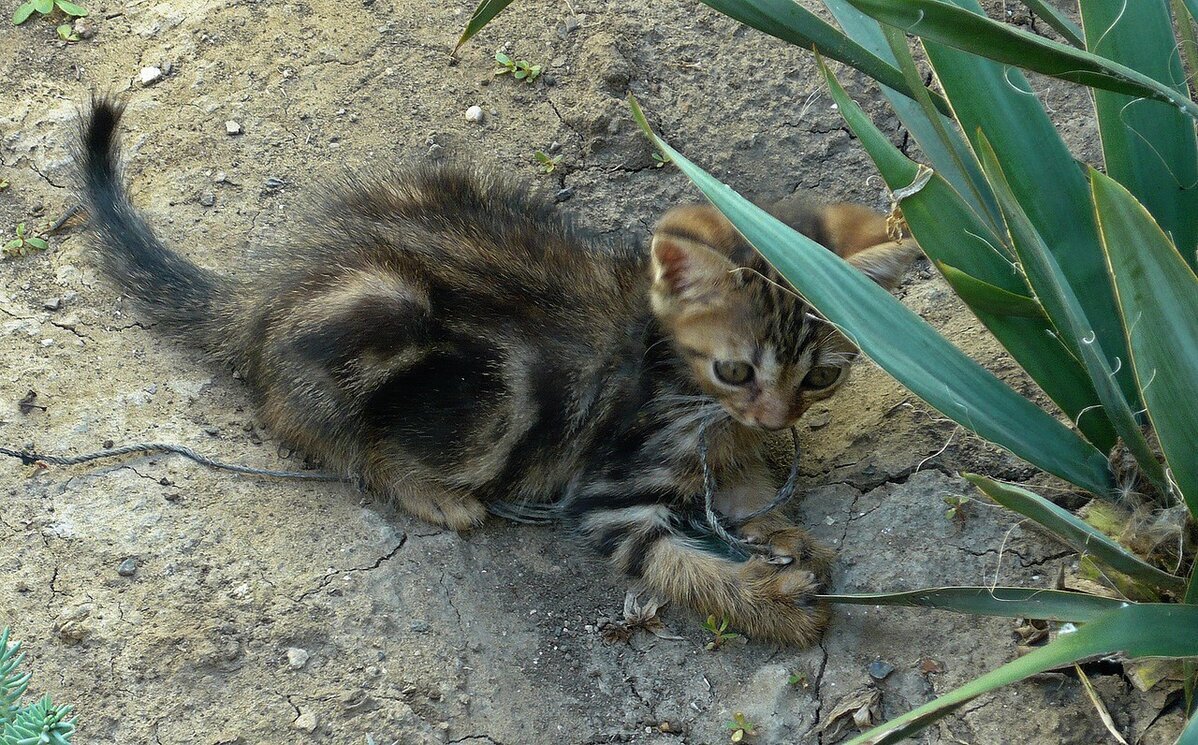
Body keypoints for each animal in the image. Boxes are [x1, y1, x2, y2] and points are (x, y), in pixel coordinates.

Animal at [77, 99, 915, 646]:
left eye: (820, 377)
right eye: (736, 370)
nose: (778, 418)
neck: (683, 388)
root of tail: (269, 293)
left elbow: (741, 490)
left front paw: (785, 534)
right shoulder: (608, 492)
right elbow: (677, 564)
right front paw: (772, 603)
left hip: (443, 184)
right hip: (383, 321)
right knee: (297, 418)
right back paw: (426, 489)